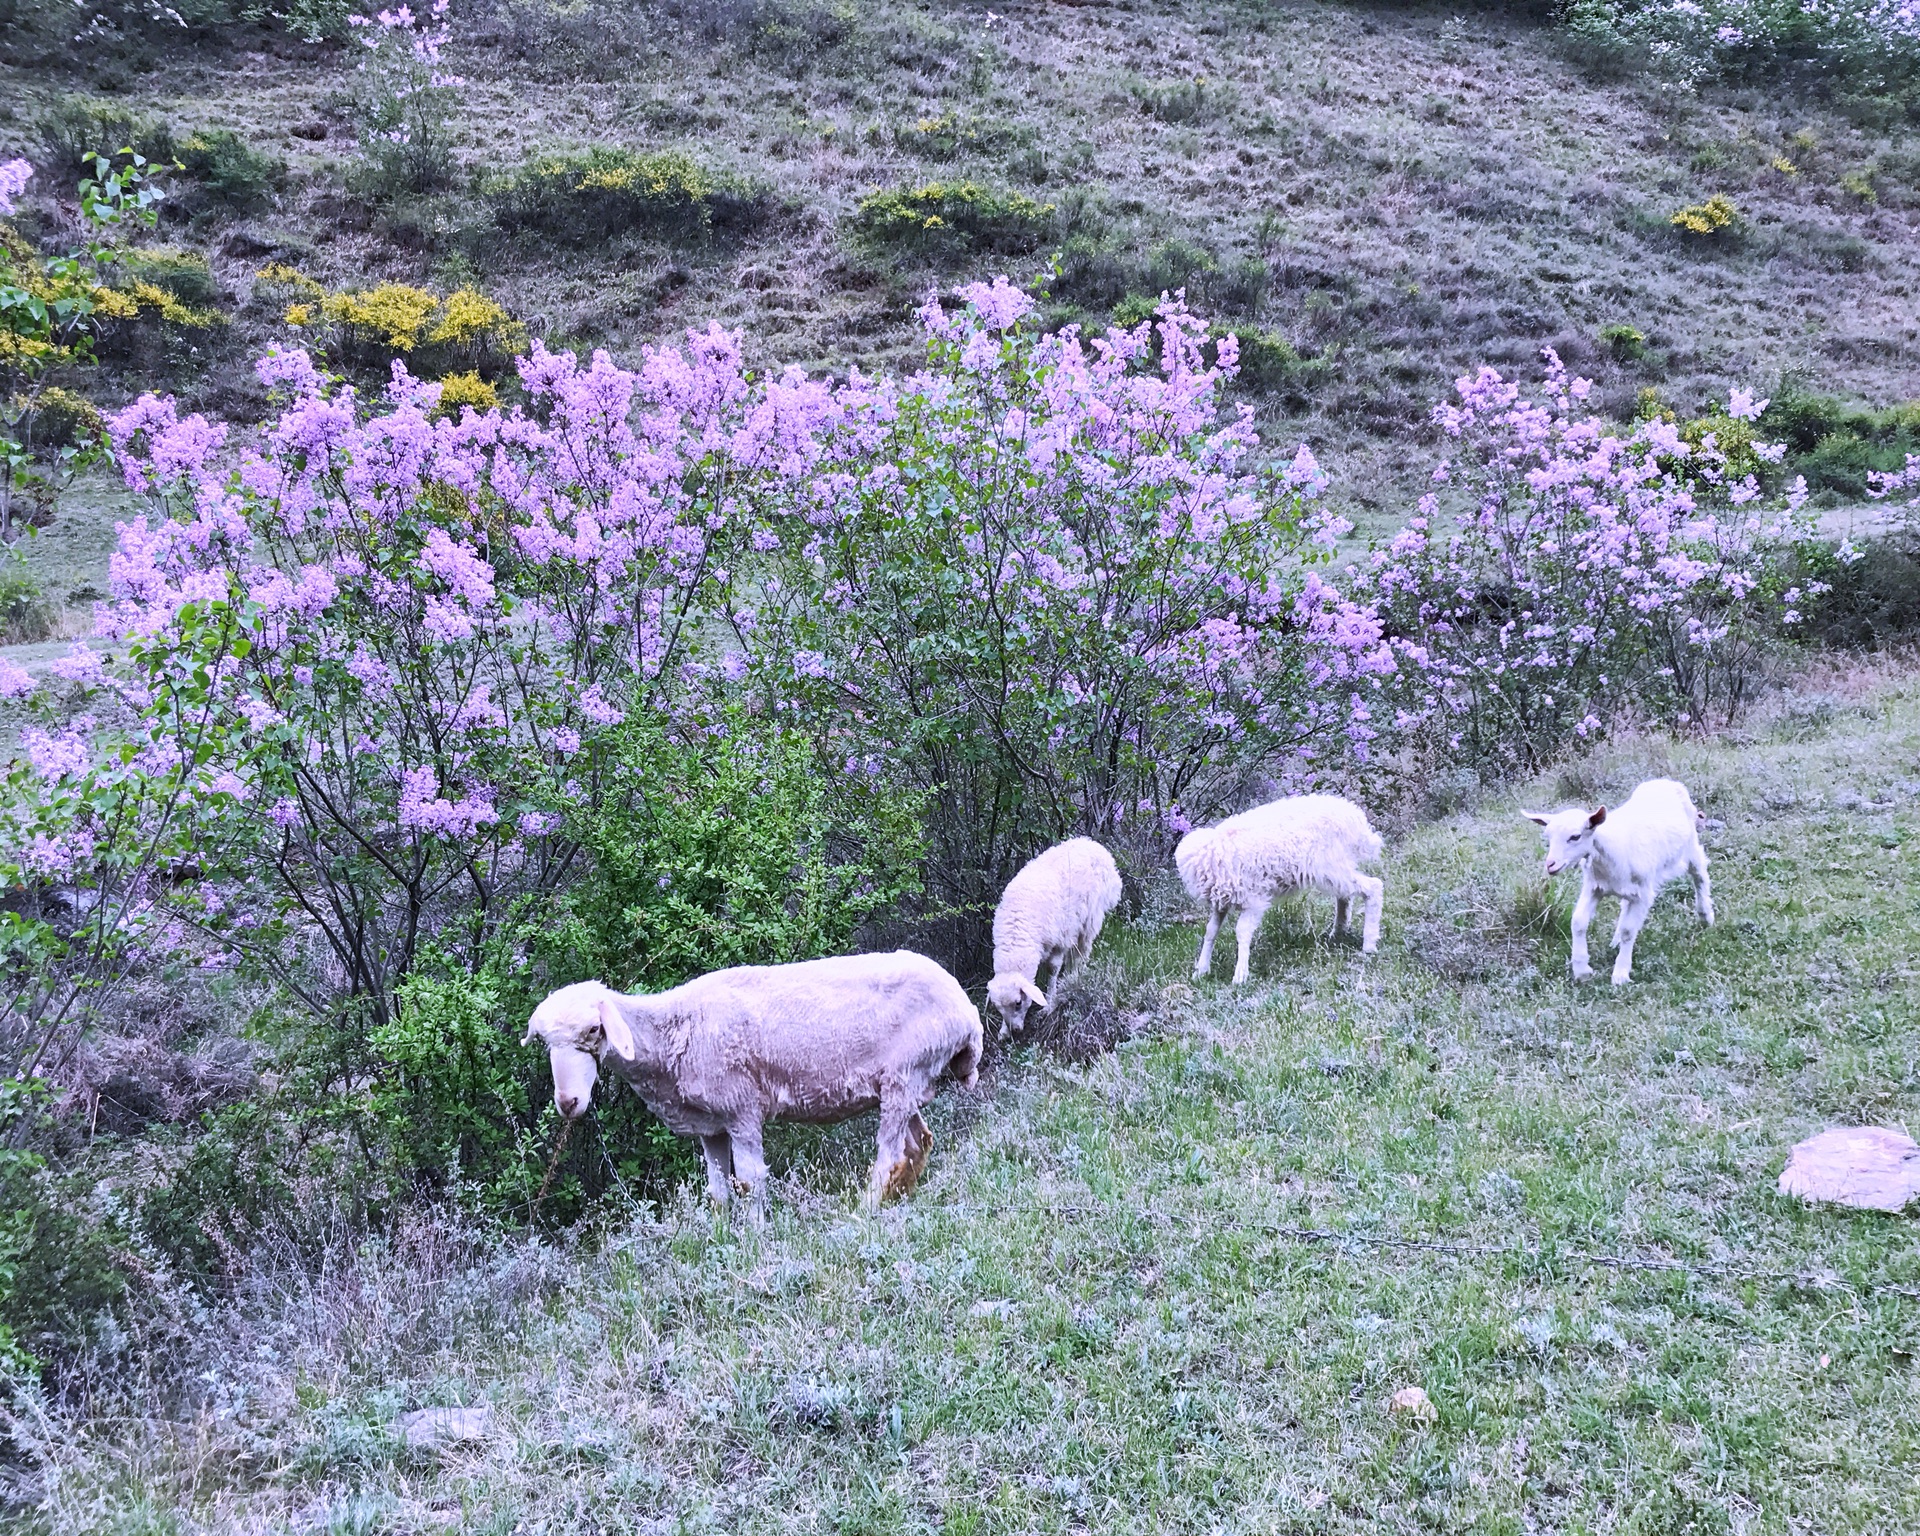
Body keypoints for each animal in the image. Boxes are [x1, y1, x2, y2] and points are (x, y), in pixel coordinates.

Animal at [522, 948, 983, 1213]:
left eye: (594, 1030)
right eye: (543, 1041)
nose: (568, 1103)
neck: (674, 1030)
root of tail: (966, 1012)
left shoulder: (742, 1108)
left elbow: (749, 1181)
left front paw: (756, 1236)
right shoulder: (710, 1125)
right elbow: (717, 1190)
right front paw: (721, 1234)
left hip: (906, 1072)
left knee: (889, 1155)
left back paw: (865, 1209)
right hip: (903, 1081)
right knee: (918, 1142)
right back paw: (898, 1196)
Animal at [990, 840, 1121, 1044]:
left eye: (1018, 1003)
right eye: (998, 1008)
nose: (1016, 1030)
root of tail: (1096, 846)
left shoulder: (1058, 942)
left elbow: (1052, 969)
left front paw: (1049, 1004)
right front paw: (1004, 1031)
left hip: (1090, 917)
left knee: (1082, 951)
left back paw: (1075, 975)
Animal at [1167, 791, 1382, 983]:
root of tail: (1353, 815)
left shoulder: (1254, 900)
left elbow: (1242, 931)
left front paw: (1240, 975)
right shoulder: (1222, 901)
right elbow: (1210, 931)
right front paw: (1201, 970)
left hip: (1329, 866)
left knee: (1374, 886)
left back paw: (1369, 943)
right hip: (1335, 867)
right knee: (1345, 895)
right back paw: (1338, 932)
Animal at [1520, 779, 1720, 983]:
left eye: (1575, 836)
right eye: (1548, 837)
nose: (1550, 865)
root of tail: (1665, 781)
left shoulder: (1643, 893)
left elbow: (1628, 931)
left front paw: (1621, 974)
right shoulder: (1593, 887)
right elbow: (1578, 922)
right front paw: (1582, 969)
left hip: (1690, 846)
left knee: (1700, 874)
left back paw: (1705, 916)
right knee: (1625, 904)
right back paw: (1615, 941)